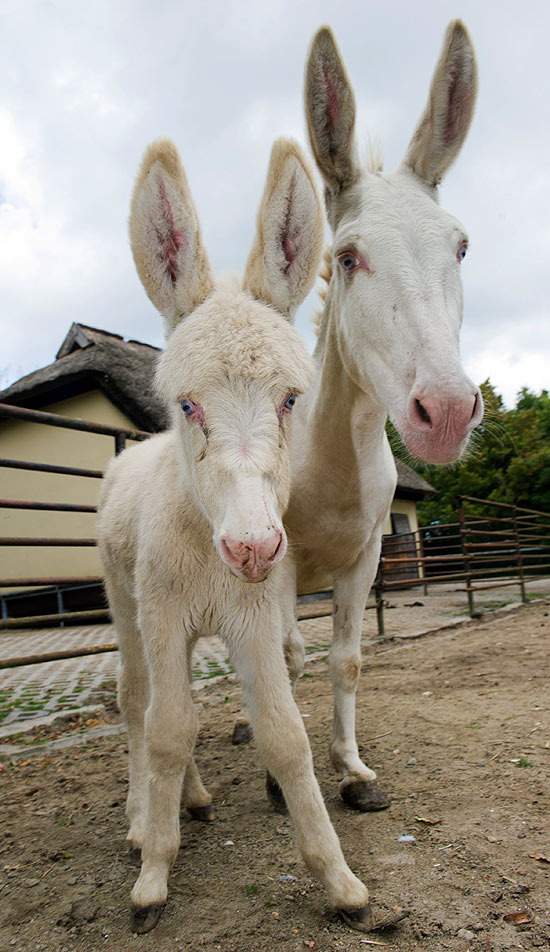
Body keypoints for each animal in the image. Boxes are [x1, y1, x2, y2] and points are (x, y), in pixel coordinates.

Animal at [98, 138, 388, 932]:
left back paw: (192, 800)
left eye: (290, 399)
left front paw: (341, 883)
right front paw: (153, 878)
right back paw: (141, 819)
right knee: (138, 702)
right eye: (186, 404)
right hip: (126, 604)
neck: (205, 548)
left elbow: (284, 737)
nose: (254, 547)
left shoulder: (254, 615)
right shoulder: (165, 611)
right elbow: (167, 729)